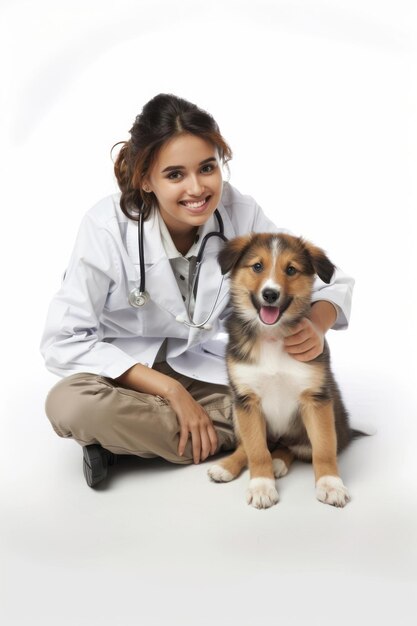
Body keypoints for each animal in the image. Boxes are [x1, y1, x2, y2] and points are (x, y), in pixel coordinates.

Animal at [208, 232, 358, 510]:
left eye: (290, 270)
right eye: (257, 266)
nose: (270, 294)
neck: (271, 336)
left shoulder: (316, 400)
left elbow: (323, 449)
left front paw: (330, 484)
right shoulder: (247, 399)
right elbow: (256, 449)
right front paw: (261, 486)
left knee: (293, 448)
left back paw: (278, 462)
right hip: (237, 410)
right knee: (251, 445)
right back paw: (227, 466)